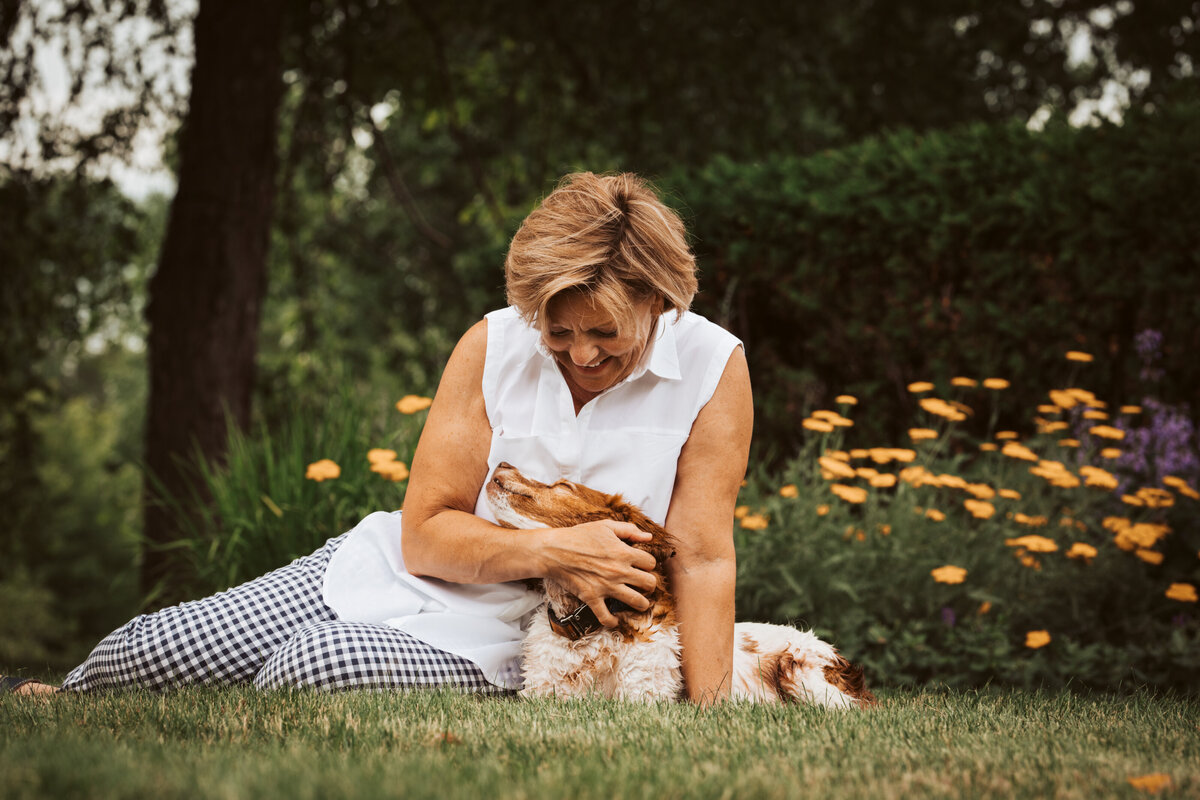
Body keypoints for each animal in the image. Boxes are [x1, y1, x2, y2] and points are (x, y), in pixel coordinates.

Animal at [484, 462, 873, 705]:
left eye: (563, 486)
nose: (501, 462)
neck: (588, 628)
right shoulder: (544, 696)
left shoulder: (645, 700)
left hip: (801, 670)